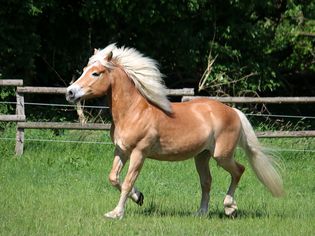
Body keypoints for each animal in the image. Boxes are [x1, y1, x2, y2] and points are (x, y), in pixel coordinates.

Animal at [66, 43, 284, 219]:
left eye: (96, 73)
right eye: (84, 70)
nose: (70, 92)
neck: (134, 111)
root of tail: (232, 111)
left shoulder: (139, 153)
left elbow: (127, 181)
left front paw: (116, 213)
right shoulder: (121, 150)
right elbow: (113, 177)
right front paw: (139, 197)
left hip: (222, 155)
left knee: (239, 170)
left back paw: (230, 207)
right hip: (202, 156)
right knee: (207, 181)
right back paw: (201, 213)